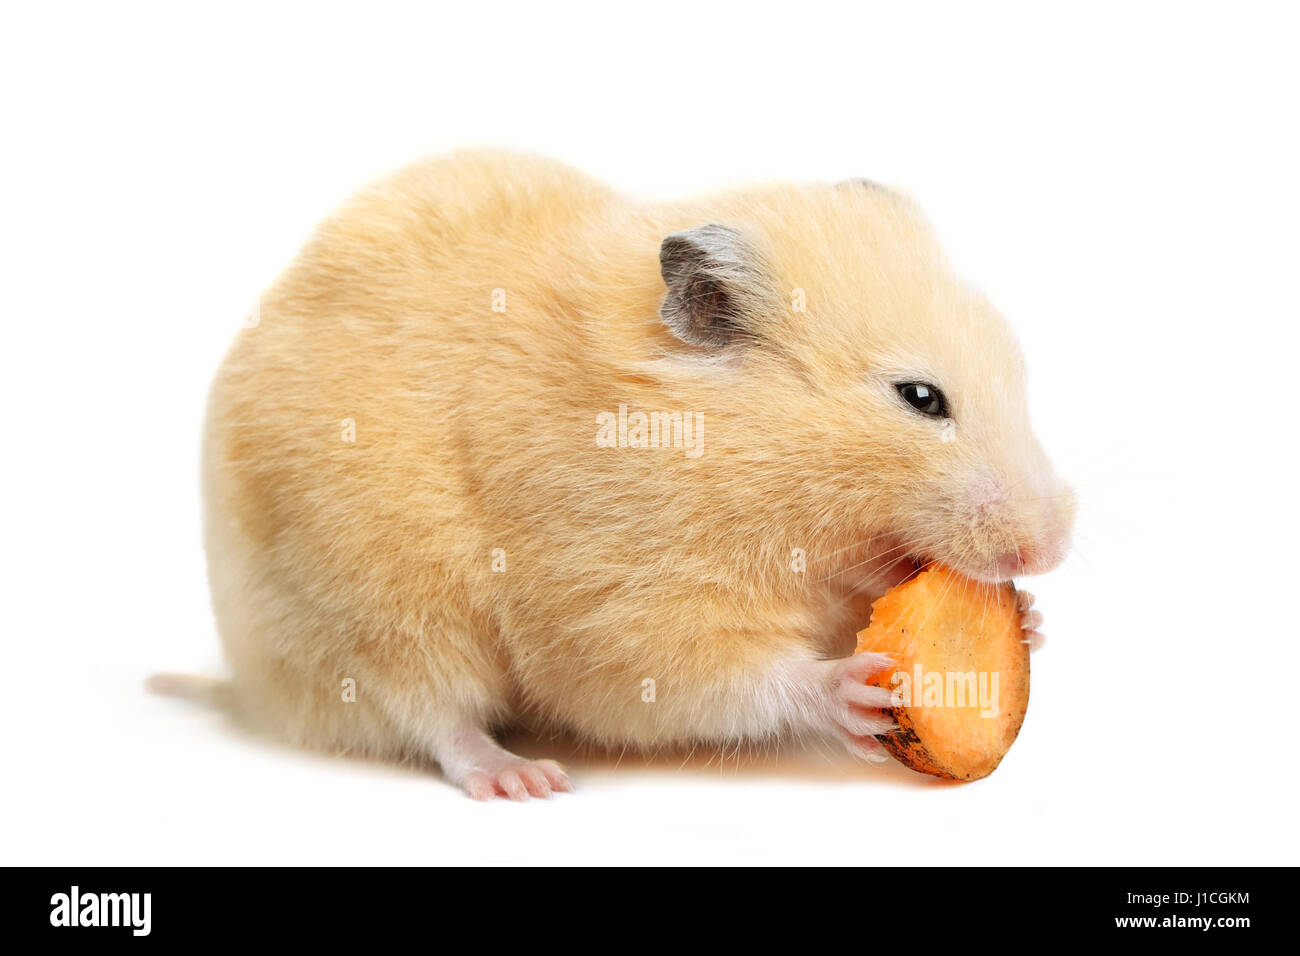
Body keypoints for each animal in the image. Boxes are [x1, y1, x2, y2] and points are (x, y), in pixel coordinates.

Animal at [175, 149, 1075, 800]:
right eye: (920, 398)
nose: (1051, 549)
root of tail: (249, 686)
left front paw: (1029, 623)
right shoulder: (615, 612)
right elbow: (729, 679)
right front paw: (854, 690)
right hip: (372, 607)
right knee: (432, 715)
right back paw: (522, 780)